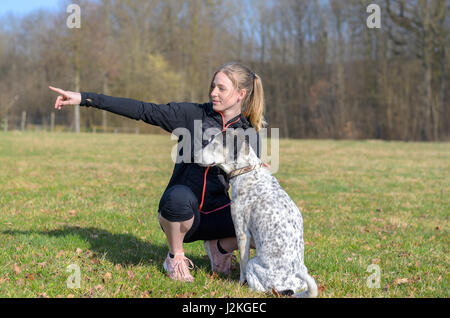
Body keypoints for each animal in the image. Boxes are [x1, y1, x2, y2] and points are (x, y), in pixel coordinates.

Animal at [198, 129, 320, 298]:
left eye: (215, 144)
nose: (193, 156)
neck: (247, 171)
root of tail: (290, 287)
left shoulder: (242, 233)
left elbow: (242, 266)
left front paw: (240, 283)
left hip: (253, 263)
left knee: (259, 287)